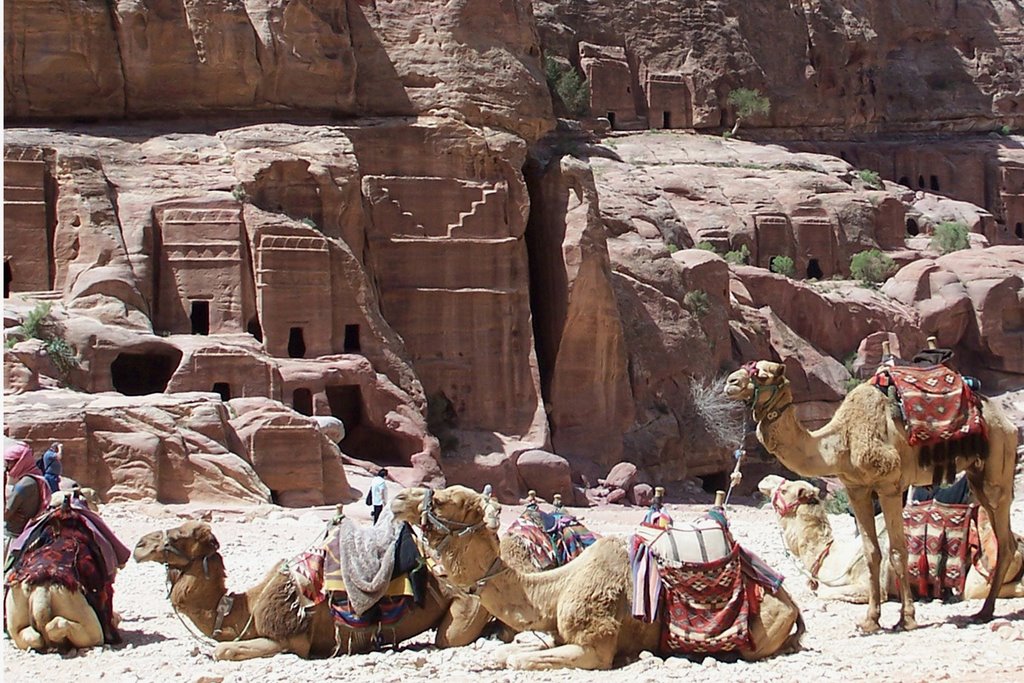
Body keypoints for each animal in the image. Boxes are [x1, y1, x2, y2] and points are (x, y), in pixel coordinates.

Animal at [133, 520, 491, 659]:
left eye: (182, 535)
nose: (139, 545)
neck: (247, 607)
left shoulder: (290, 639)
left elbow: (224, 651)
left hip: (464, 607)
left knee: (450, 636)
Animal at [389, 483, 798, 671]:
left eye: (449, 500)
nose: (398, 499)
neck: (554, 590)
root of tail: (792, 603)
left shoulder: (594, 647)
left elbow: (518, 659)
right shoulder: (554, 631)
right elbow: (509, 650)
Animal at [724, 360, 1019, 634]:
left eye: (762, 374)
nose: (730, 382)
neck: (840, 441)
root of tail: (1007, 422)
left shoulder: (889, 485)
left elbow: (898, 551)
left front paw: (906, 619)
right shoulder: (857, 489)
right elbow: (871, 552)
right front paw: (870, 620)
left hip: (999, 465)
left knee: (1005, 539)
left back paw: (984, 611)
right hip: (977, 477)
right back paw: (984, 611)